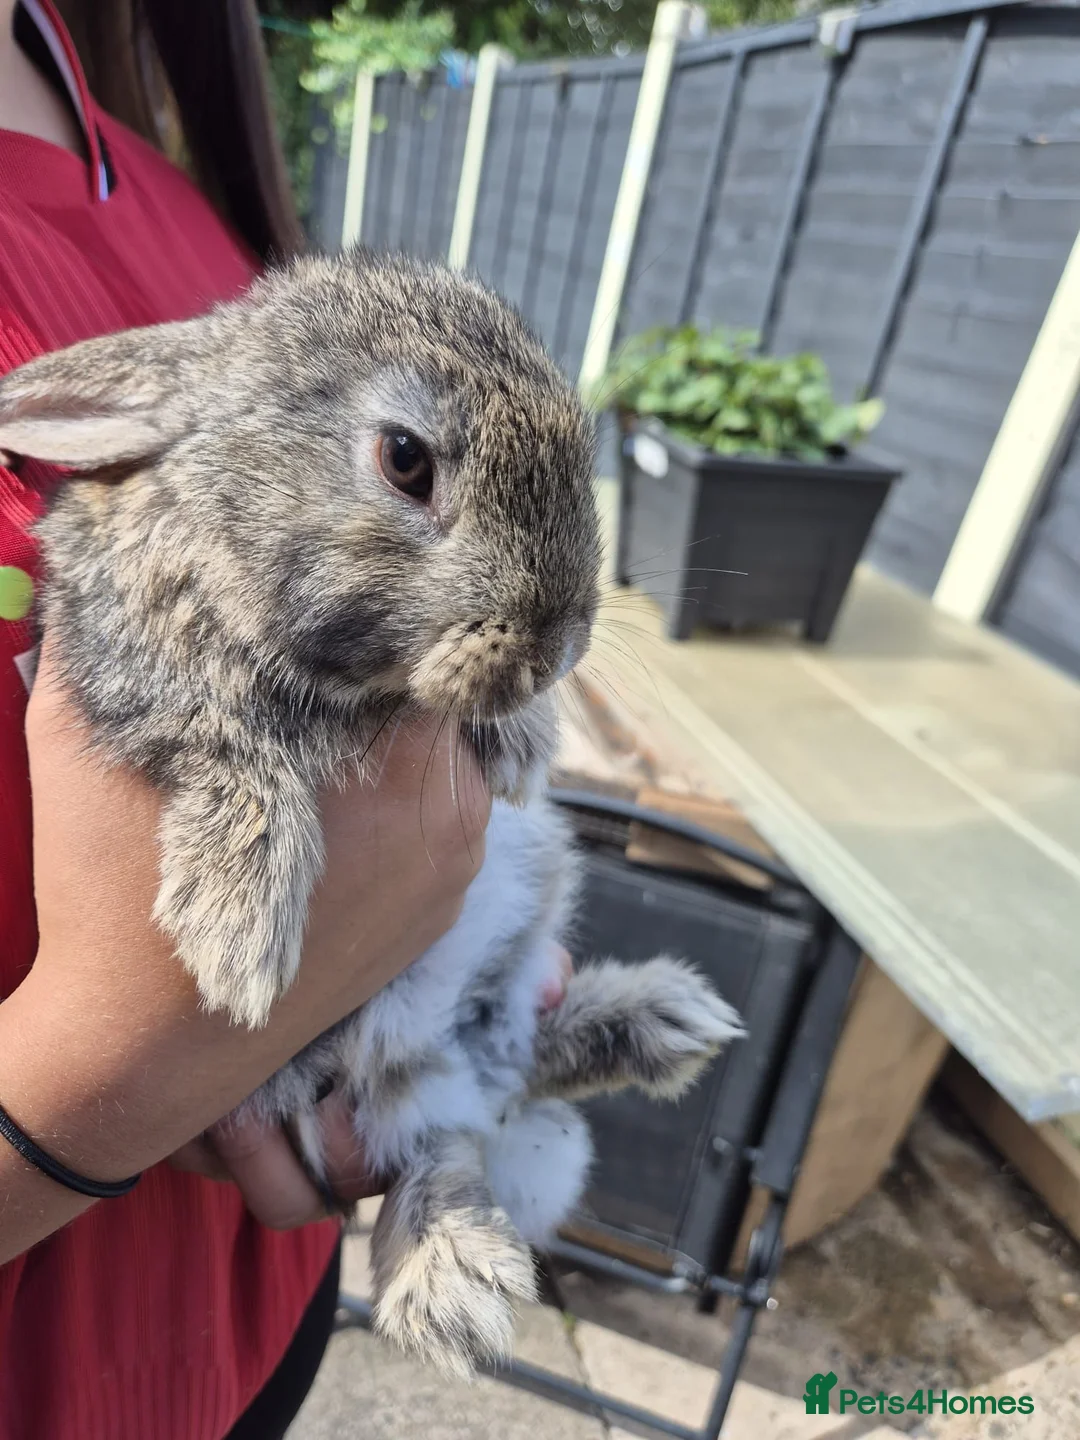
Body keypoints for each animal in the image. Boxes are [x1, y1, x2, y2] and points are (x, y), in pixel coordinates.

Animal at [0, 251, 743, 1376]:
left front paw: (523, 741)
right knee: (439, 1141)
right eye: (404, 459)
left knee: (502, 1079)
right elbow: (223, 744)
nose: (558, 646)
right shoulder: (130, 666)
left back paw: (663, 1027)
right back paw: (456, 1282)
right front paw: (240, 941)